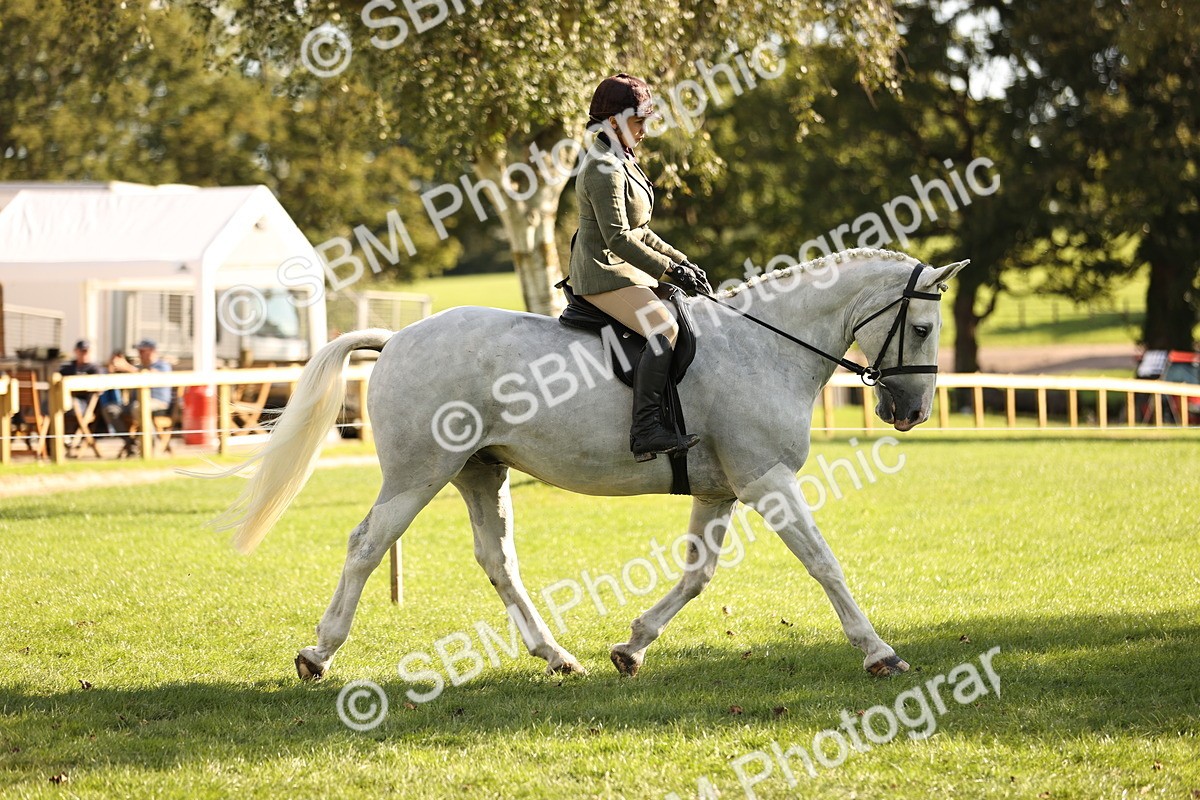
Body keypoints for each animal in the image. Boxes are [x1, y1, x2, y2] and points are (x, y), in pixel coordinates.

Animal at [209, 247, 969, 682]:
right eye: (923, 327)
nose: (912, 411)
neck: (767, 345)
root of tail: (395, 338)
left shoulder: (721, 490)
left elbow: (697, 576)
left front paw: (632, 648)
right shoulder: (768, 481)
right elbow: (824, 564)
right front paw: (879, 652)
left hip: (480, 471)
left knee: (497, 561)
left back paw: (556, 656)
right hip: (417, 475)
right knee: (367, 545)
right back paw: (318, 654)